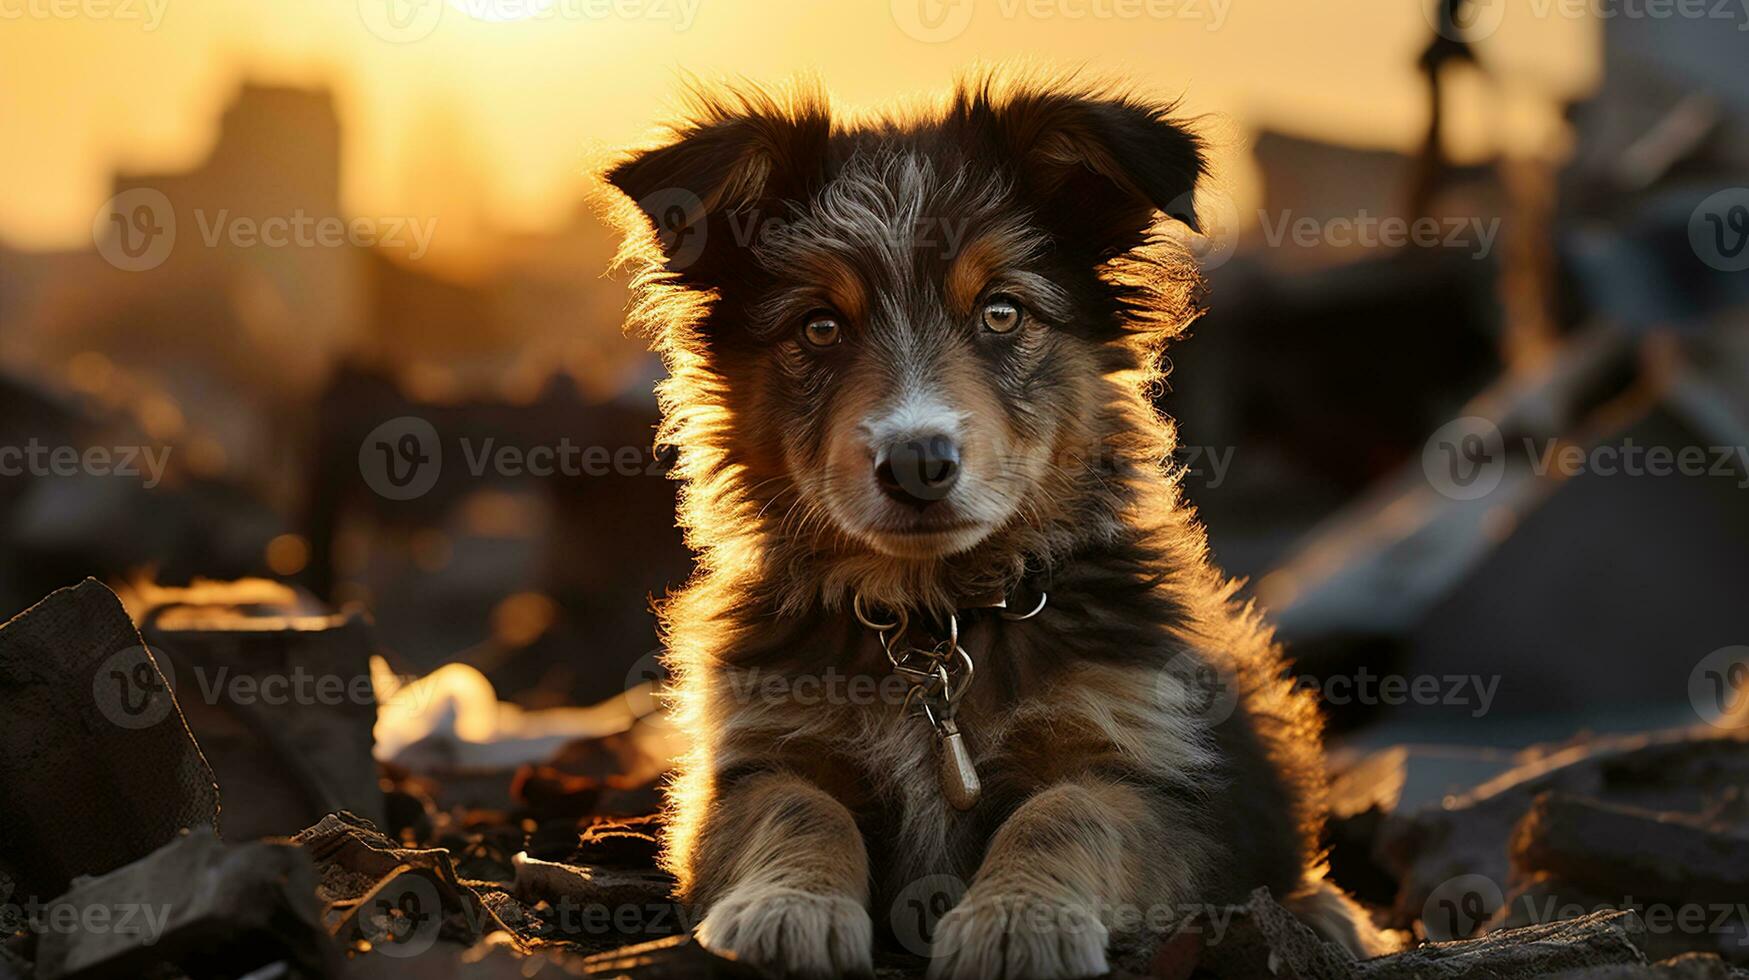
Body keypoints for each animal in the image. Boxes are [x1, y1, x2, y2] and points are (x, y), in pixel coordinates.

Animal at [601, 76, 1378, 980]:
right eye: (819, 327)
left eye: (1001, 313)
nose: (916, 463)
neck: (934, 622)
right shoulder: (751, 759)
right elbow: (797, 807)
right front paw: (788, 908)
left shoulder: (1147, 774)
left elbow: (1066, 810)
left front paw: (1017, 919)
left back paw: (1326, 917)